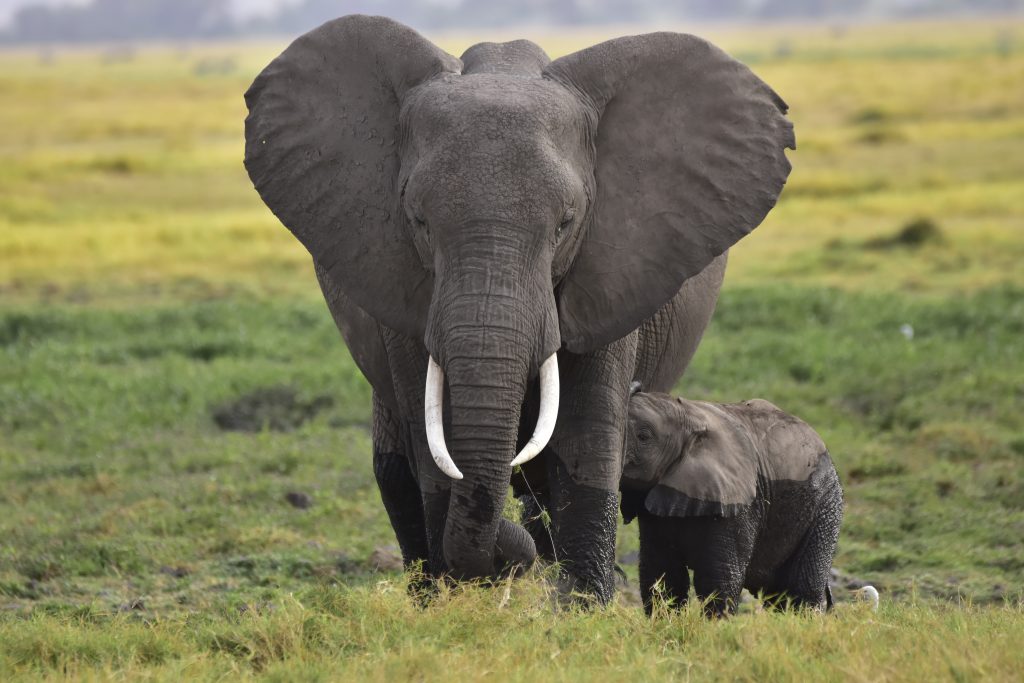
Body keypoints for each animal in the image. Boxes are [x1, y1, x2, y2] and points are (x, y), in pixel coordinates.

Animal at [243, 14, 794, 602]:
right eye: (418, 221)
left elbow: (586, 436)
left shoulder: (609, 271)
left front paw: (582, 606)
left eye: (566, 223)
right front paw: (457, 599)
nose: (509, 563)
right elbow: (434, 448)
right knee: (394, 472)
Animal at [618, 387, 843, 618]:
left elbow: (718, 577)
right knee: (778, 595)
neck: (688, 416)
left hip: (826, 503)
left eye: (643, 436)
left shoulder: (738, 503)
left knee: (803, 588)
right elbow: (662, 574)